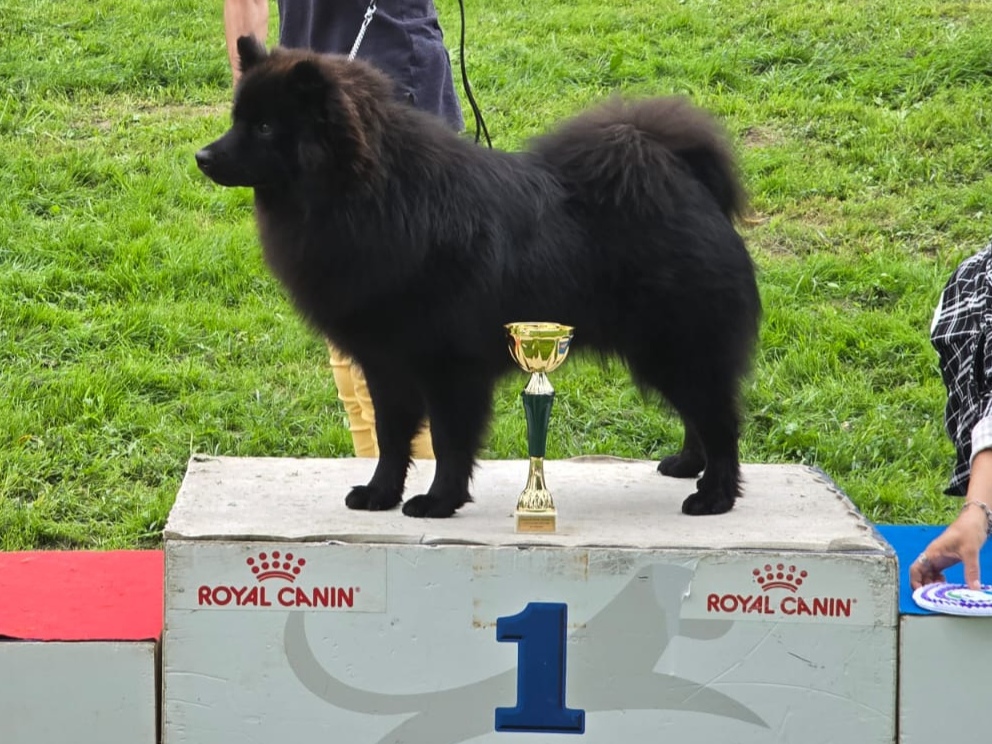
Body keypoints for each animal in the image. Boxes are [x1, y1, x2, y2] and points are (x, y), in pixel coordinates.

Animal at [196, 35, 761, 518]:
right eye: (237, 119)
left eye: (266, 128)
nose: (202, 156)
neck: (373, 196)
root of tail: (685, 179)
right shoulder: (385, 362)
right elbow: (392, 438)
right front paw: (380, 494)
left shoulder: (449, 365)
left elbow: (449, 443)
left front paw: (438, 501)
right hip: (663, 351)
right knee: (699, 415)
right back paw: (688, 466)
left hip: (678, 345)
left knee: (720, 420)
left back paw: (714, 494)